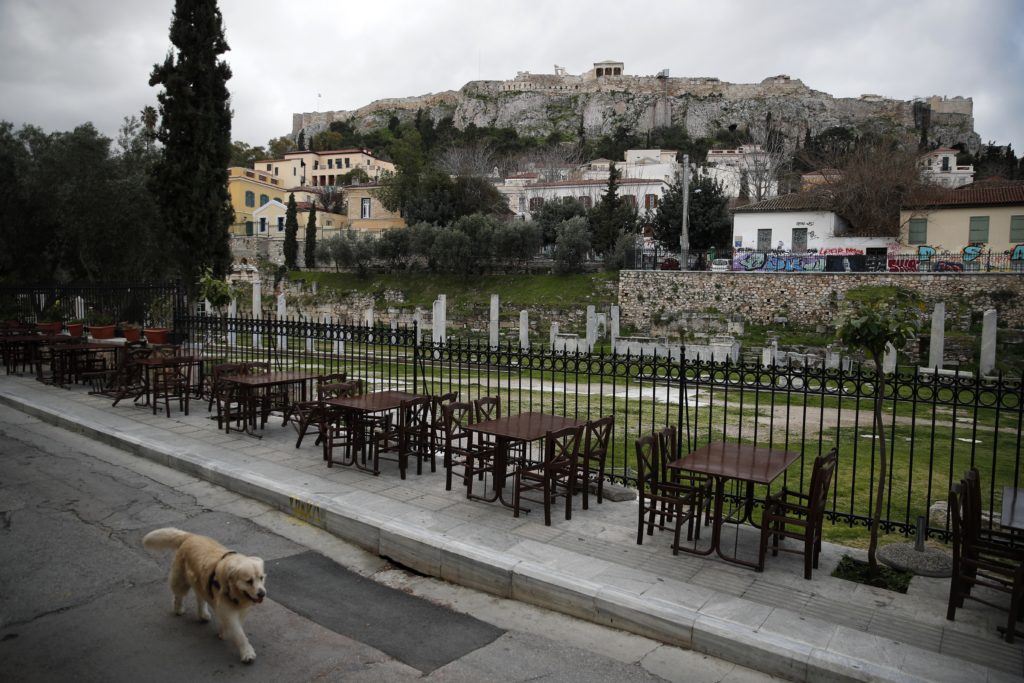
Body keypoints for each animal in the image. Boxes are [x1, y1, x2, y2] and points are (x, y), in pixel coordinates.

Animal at [144, 528, 266, 663]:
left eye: (261, 578)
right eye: (249, 581)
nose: (262, 594)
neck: (233, 589)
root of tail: (190, 536)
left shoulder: (241, 610)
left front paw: (224, 632)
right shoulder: (228, 611)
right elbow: (239, 633)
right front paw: (247, 653)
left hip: (199, 582)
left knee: (200, 598)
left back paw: (203, 614)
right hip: (182, 580)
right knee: (178, 595)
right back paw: (178, 609)